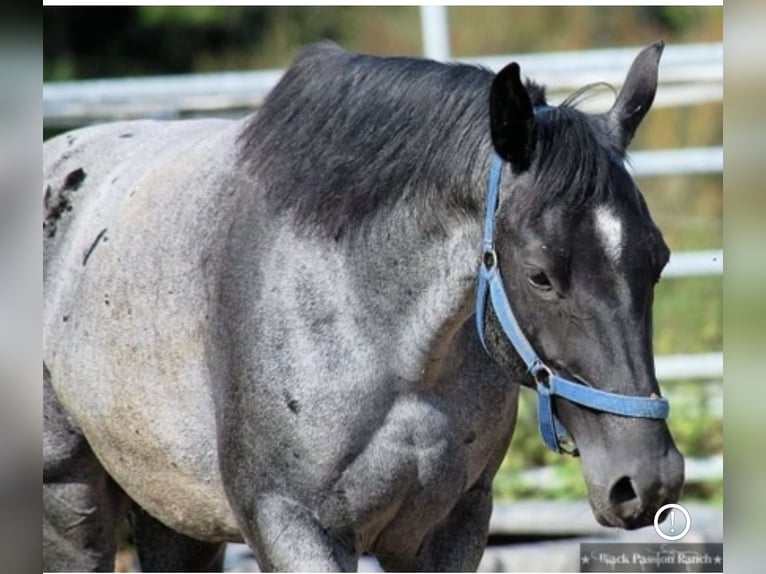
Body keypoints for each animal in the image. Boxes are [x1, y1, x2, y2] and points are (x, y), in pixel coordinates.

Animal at [45, 39, 688, 572]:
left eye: (657, 260)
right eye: (540, 277)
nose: (647, 481)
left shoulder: (452, 528)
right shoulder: (292, 526)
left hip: (176, 514)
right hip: (71, 499)